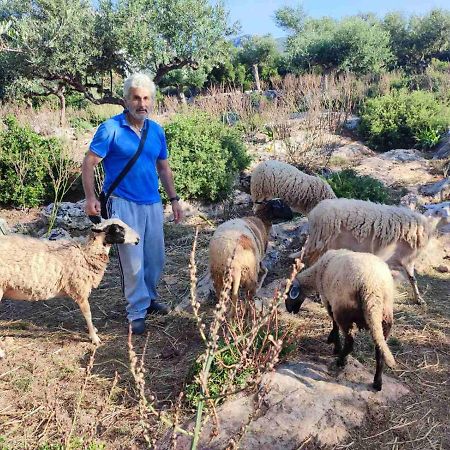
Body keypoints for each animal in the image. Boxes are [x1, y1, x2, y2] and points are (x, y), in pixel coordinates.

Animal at [0, 218, 139, 352]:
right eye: (117, 229)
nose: (138, 239)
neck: (85, 251)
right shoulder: (80, 288)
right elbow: (88, 314)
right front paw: (94, 337)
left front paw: (94, 330)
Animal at [286, 248, 396, 392]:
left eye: (288, 294)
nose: (289, 309)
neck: (316, 273)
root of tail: (372, 287)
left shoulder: (327, 300)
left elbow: (333, 322)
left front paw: (334, 343)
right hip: (385, 318)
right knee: (380, 351)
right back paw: (377, 383)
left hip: (344, 310)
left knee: (349, 343)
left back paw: (340, 361)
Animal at [304, 199, 448, 304]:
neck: (426, 225)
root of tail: (315, 212)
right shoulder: (398, 257)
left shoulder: (400, 260)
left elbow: (406, 279)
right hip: (322, 244)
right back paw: (318, 295)